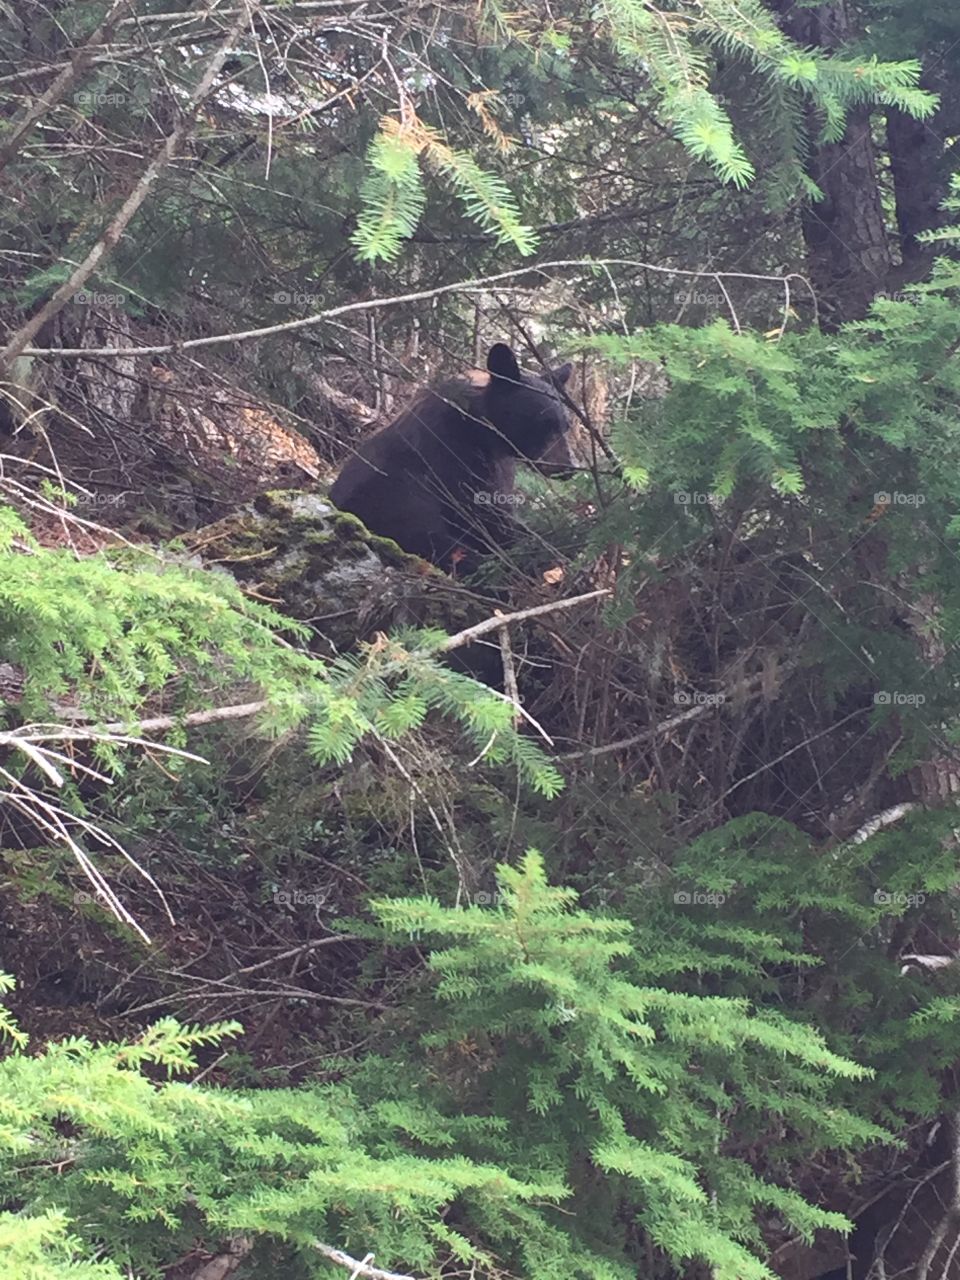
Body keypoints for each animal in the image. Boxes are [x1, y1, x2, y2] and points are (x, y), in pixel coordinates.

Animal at [329, 342, 573, 572]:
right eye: (543, 423)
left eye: (565, 426)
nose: (568, 468)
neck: (481, 431)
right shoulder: (454, 460)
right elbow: (485, 514)